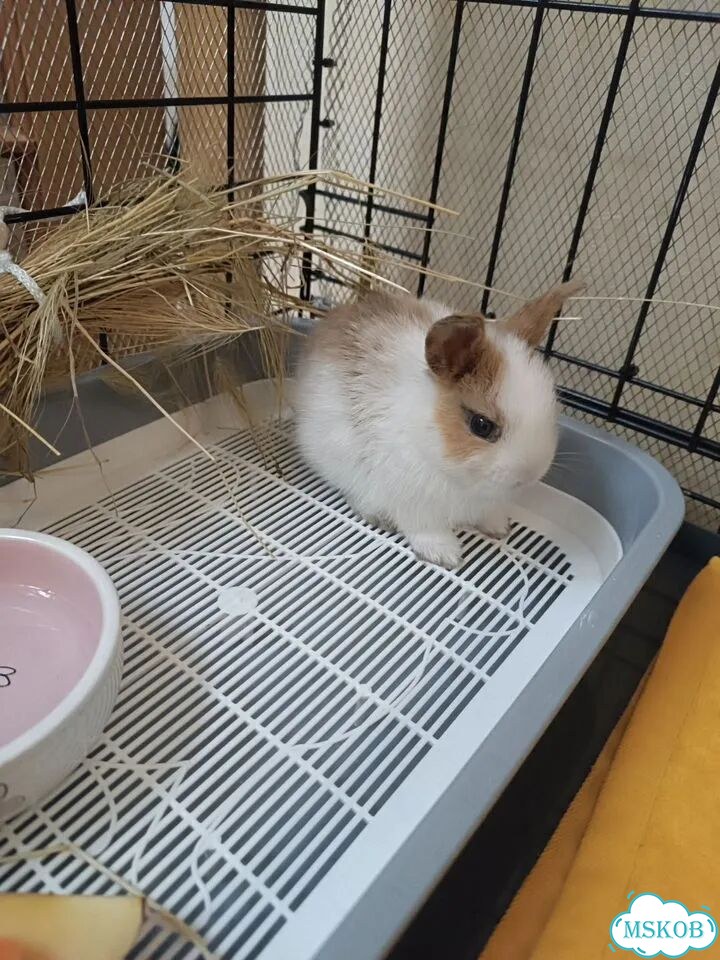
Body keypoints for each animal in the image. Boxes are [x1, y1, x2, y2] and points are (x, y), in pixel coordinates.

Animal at [294, 280, 581, 569]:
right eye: (481, 425)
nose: (531, 474)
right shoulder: (413, 502)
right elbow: (425, 529)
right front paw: (445, 555)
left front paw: (499, 528)